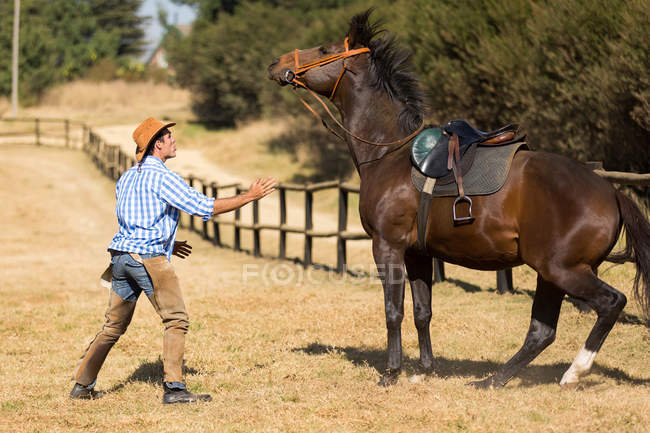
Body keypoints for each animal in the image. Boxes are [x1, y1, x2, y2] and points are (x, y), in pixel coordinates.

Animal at [266, 11, 644, 386]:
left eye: (323, 49)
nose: (275, 64)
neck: (390, 153)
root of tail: (610, 191)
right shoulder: (417, 254)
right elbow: (422, 312)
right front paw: (425, 369)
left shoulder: (388, 247)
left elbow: (393, 311)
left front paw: (392, 372)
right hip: (549, 275)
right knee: (542, 331)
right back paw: (493, 381)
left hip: (562, 270)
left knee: (611, 302)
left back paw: (574, 372)